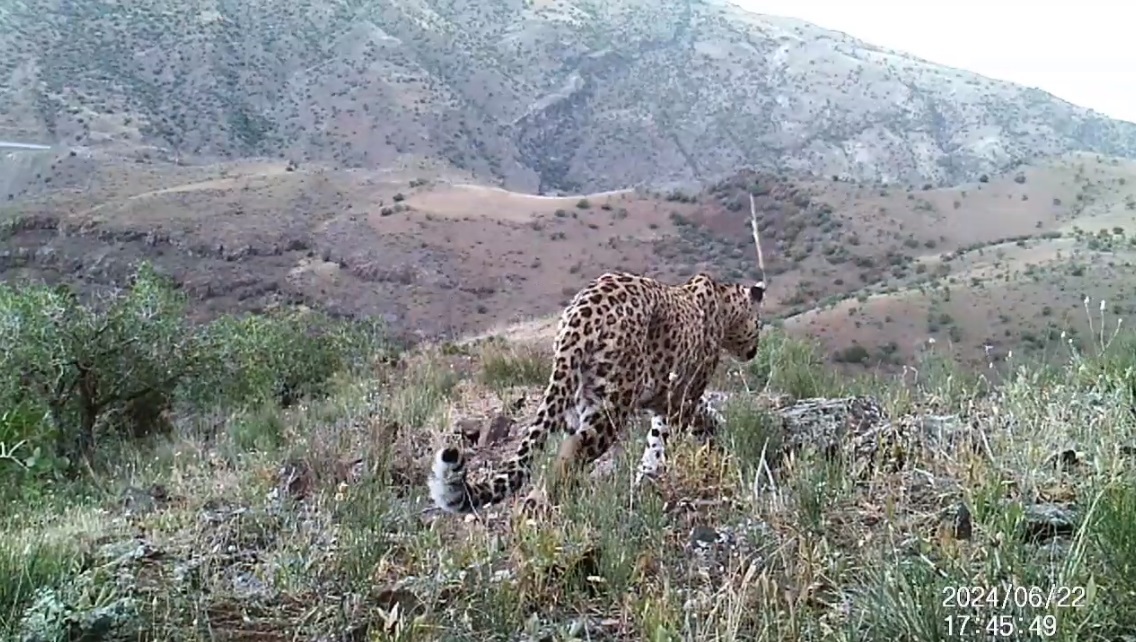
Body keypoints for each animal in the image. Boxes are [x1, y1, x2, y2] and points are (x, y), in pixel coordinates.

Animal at [429, 268, 767, 513]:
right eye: (759, 324)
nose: (755, 350)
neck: (724, 306)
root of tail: (581, 316)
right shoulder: (681, 396)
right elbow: (691, 418)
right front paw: (713, 432)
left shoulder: (662, 400)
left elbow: (658, 440)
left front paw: (647, 475)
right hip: (611, 407)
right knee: (571, 450)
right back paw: (544, 503)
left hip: (574, 398)